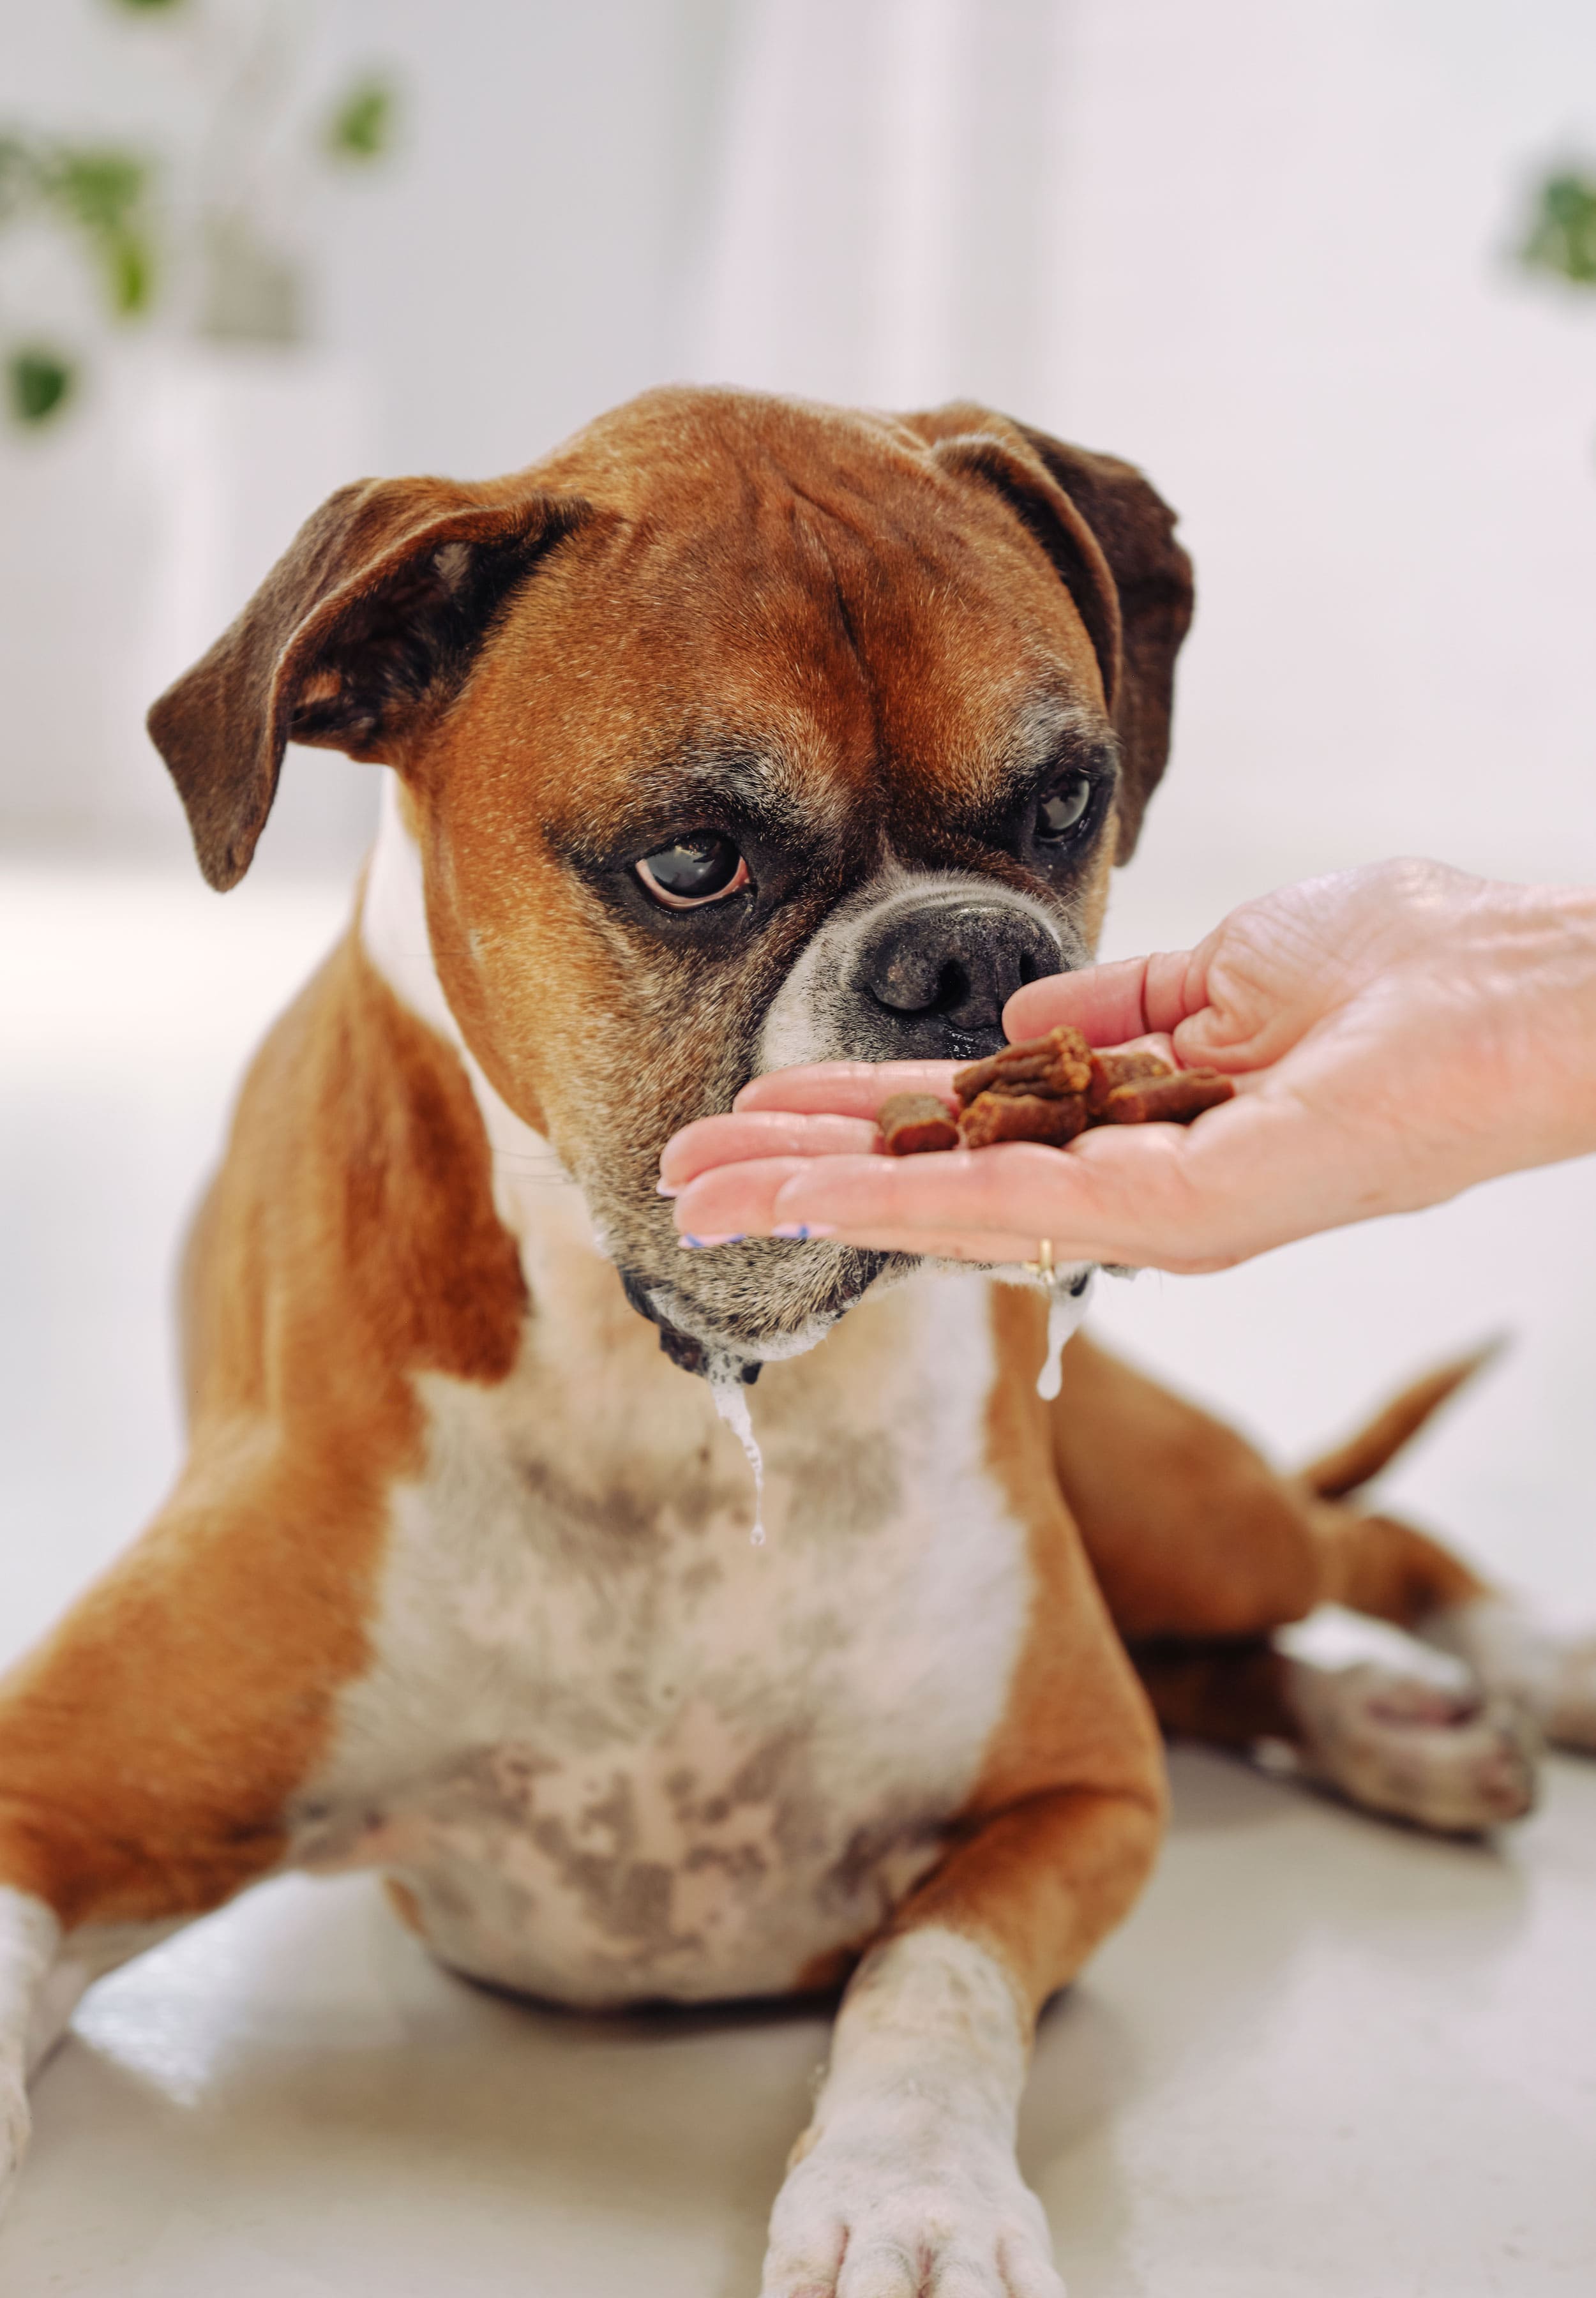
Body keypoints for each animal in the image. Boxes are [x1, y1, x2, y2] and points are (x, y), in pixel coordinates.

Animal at [6, 386, 1591, 2288]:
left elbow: (927, 1977)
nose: (966, 957)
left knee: (1355, 1544)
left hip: (1176, 1510)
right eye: (694, 862)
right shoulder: (55, 1806)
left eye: (1068, 799)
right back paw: (1396, 1729)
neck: (670, 1406)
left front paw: (910, 2191)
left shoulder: (1075, 1799)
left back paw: (1512, 1673)